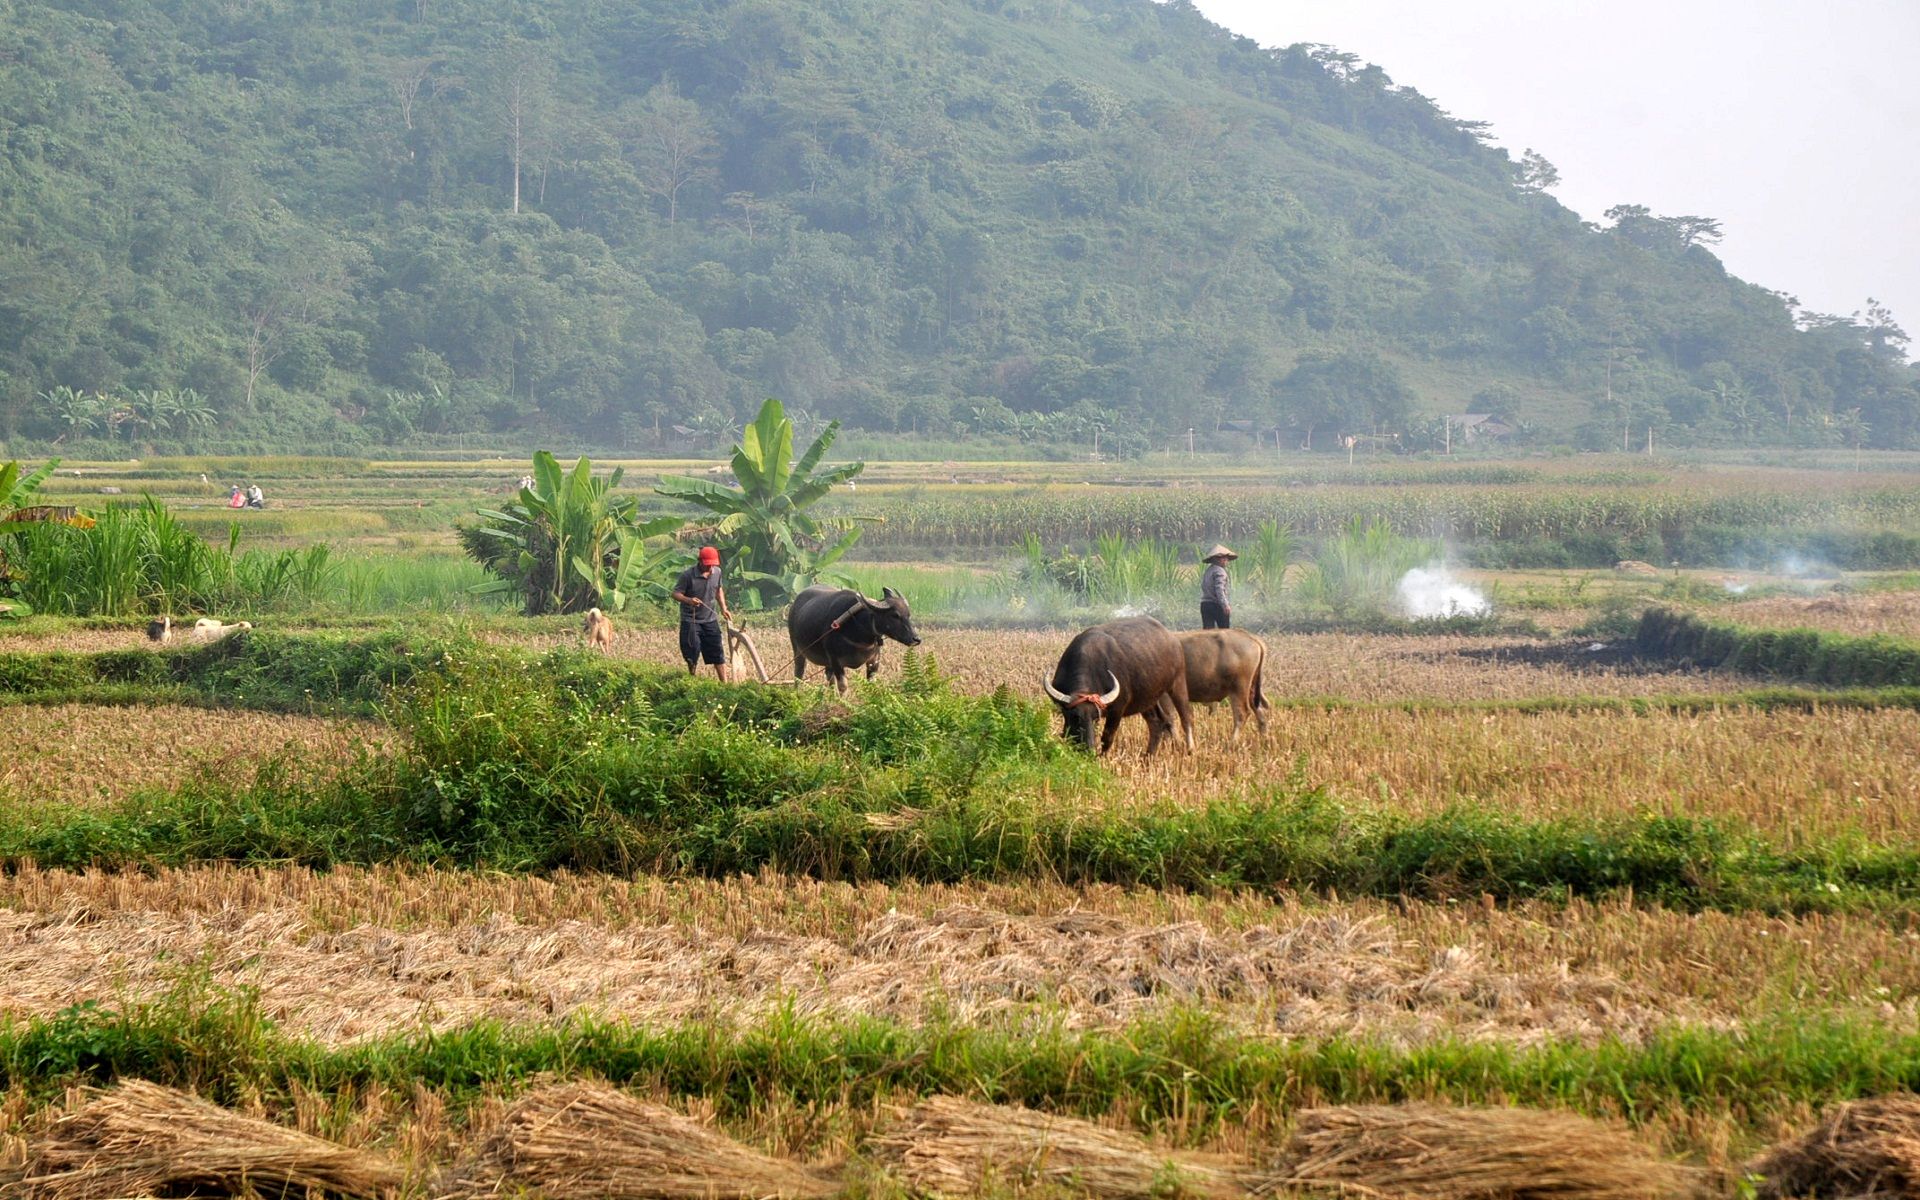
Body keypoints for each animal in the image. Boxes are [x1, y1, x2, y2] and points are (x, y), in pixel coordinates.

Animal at [787, 583, 921, 691]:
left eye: (908, 614)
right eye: (895, 615)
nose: (916, 639)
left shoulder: (874, 660)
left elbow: (871, 684)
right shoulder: (836, 661)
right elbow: (843, 686)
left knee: (829, 676)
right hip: (797, 649)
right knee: (799, 672)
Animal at [1044, 614, 1190, 752]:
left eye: (1095, 717)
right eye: (1076, 717)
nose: (1089, 747)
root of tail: (1172, 639)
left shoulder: (1117, 710)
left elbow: (1107, 738)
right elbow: (1067, 734)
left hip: (1178, 684)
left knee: (1185, 718)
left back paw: (1189, 749)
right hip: (1149, 698)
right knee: (1157, 722)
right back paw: (1148, 756)